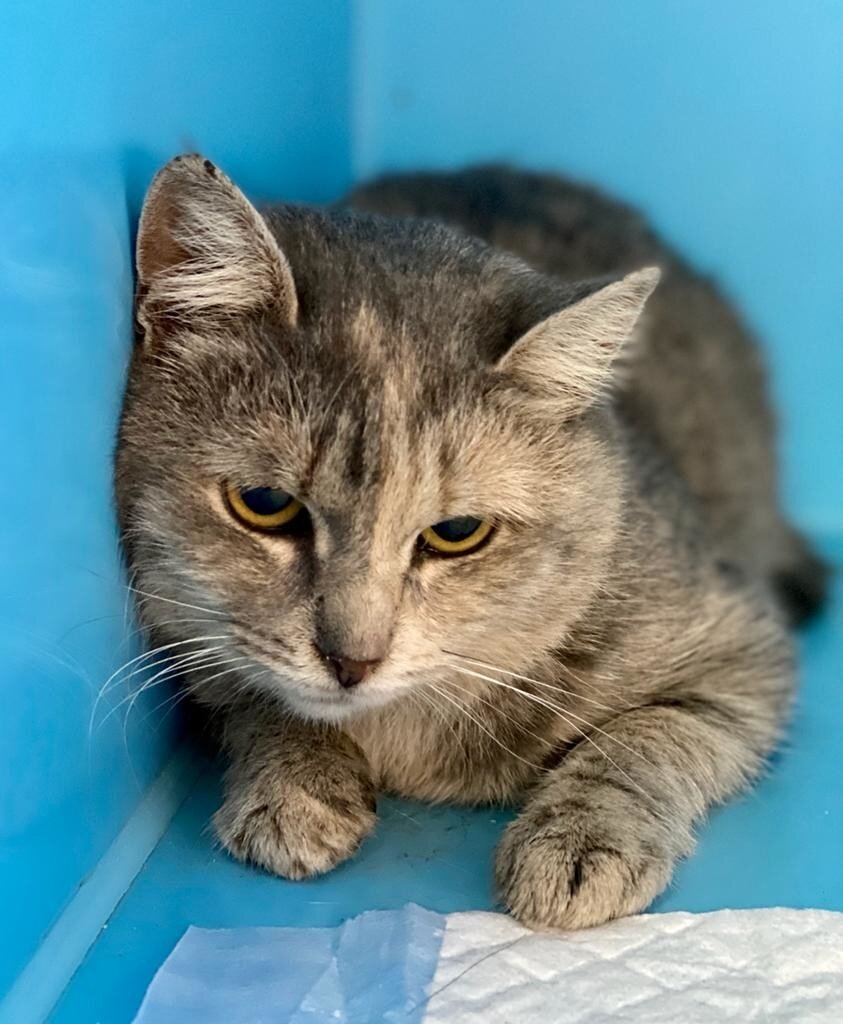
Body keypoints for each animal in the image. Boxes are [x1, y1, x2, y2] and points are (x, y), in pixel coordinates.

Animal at [116, 154, 826, 930]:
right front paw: (296, 781)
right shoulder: (192, 639)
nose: (352, 662)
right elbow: (253, 693)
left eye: (456, 534)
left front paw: (580, 836)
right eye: (267, 506)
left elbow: (646, 740)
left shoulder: (741, 651)